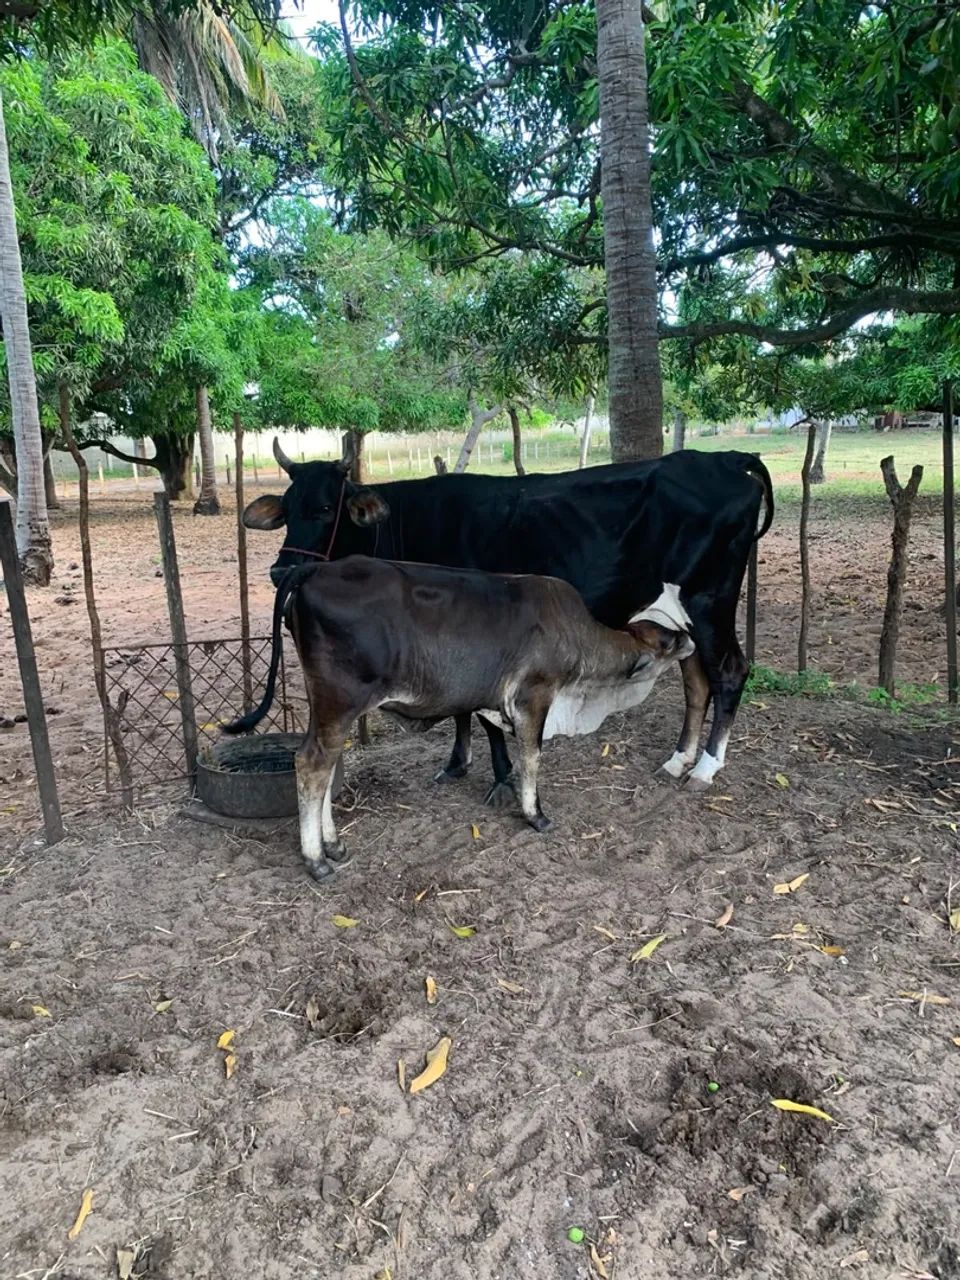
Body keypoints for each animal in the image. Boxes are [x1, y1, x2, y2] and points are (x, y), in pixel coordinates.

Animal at [223, 557, 695, 880]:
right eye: (668, 641)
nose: (691, 637)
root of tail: (312, 569)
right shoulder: (534, 696)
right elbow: (532, 758)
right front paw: (535, 814)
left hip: (326, 707)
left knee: (323, 764)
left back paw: (333, 844)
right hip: (340, 701)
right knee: (311, 764)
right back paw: (317, 859)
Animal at [242, 439, 774, 794]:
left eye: (327, 508)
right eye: (286, 509)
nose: (281, 569)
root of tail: (726, 458)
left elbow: (479, 709)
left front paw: (500, 777)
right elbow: (460, 704)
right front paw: (457, 764)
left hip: (709, 601)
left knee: (729, 671)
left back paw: (705, 767)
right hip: (681, 613)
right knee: (696, 679)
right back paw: (679, 760)